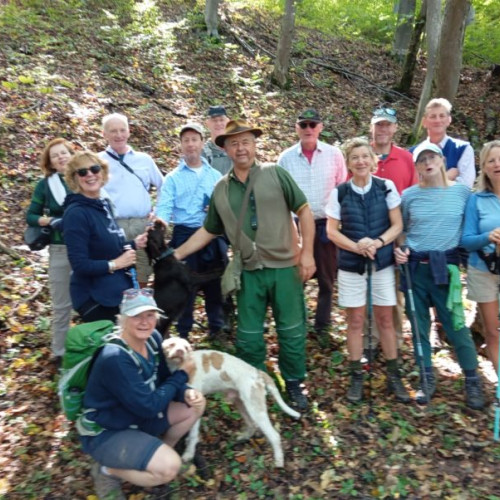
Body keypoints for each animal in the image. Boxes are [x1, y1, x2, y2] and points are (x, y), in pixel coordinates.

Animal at [163, 338, 300, 466]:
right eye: (171, 344)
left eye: (186, 347)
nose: (180, 351)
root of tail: (257, 372)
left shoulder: (196, 406)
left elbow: (193, 434)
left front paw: (189, 453)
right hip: (241, 403)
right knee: (252, 424)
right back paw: (243, 437)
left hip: (256, 410)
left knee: (274, 436)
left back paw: (278, 462)